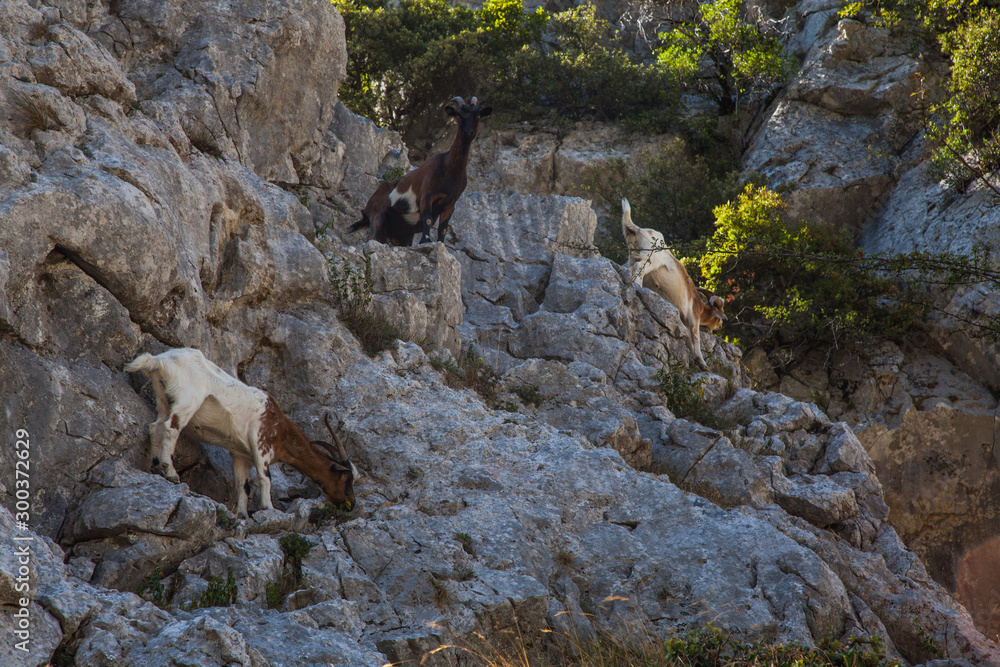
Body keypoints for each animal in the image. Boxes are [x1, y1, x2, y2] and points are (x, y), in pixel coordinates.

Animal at [125, 348, 356, 518]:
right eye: (347, 477)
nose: (351, 504)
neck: (280, 429)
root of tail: (158, 360)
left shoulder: (240, 455)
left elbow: (242, 485)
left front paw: (243, 515)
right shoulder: (261, 444)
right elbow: (265, 478)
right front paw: (269, 508)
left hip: (162, 396)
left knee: (155, 425)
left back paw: (154, 465)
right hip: (187, 399)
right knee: (171, 427)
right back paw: (170, 471)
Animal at [348, 96, 491, 246]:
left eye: (478, 116)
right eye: (458, 115)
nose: (469, 132)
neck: (448, 169)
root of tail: (367, 209)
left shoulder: (450, 203)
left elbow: (443, 228)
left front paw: (440, 243)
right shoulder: (427, 194)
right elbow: (427, 218)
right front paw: (425, 240)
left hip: (402, 234)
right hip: (378, 216)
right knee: (375, 236)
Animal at [621, 198, 727, 370]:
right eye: (718, 316)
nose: (720, 326)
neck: (698, 303)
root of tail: (638, 230)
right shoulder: (693, 319)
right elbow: (695, 338)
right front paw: (702, 363)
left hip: (633, 255)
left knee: (630, 267)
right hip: (651, 259)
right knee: (638, 268)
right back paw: (638, 287)